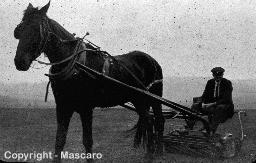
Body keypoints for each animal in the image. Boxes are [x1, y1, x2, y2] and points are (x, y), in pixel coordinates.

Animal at [14, 0, 165, 162]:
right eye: (20, 29)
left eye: (37, 29)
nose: (19, 61)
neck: (74, 65)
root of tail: (152, 60)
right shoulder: (62, 106)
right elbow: (60, 140)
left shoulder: (85, 107)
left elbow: (87, 140)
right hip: (139, 99)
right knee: (148, 120)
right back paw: (150, 152)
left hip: (152, 98)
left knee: (157, 120)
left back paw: (156, 152)